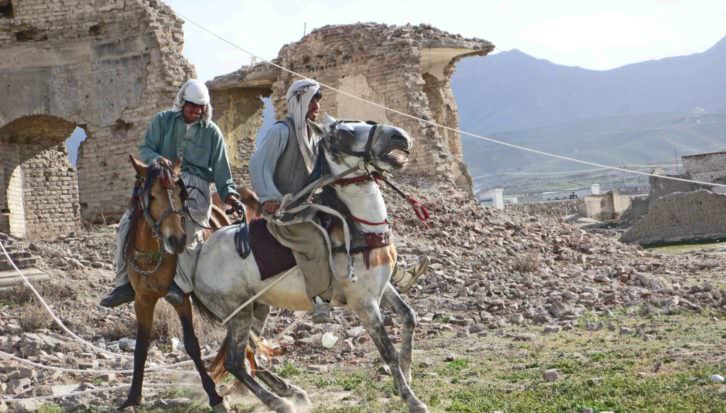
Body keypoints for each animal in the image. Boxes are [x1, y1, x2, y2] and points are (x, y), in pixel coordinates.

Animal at [119, 156, 228, 410]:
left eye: (181, 194)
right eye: (151, 196)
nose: (177, 240)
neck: (151, 256)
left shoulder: (180, 299)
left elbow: (191, 344)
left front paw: (214, 395)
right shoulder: (143, 300)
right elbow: (141, 346)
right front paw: (133, 396)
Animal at [193, 116, 432, 412]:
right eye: (345, 133)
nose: (399, 136)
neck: (358, 228)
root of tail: (196, 260)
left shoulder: (381, 288)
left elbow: (409, 317)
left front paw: (408, 372)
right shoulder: (363, 304)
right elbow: (387, 350)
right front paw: (412, 399)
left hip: (257, 309)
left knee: (251, 356)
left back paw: (290, 391)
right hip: (238, 315)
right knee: (236, 363)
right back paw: (279, 402)